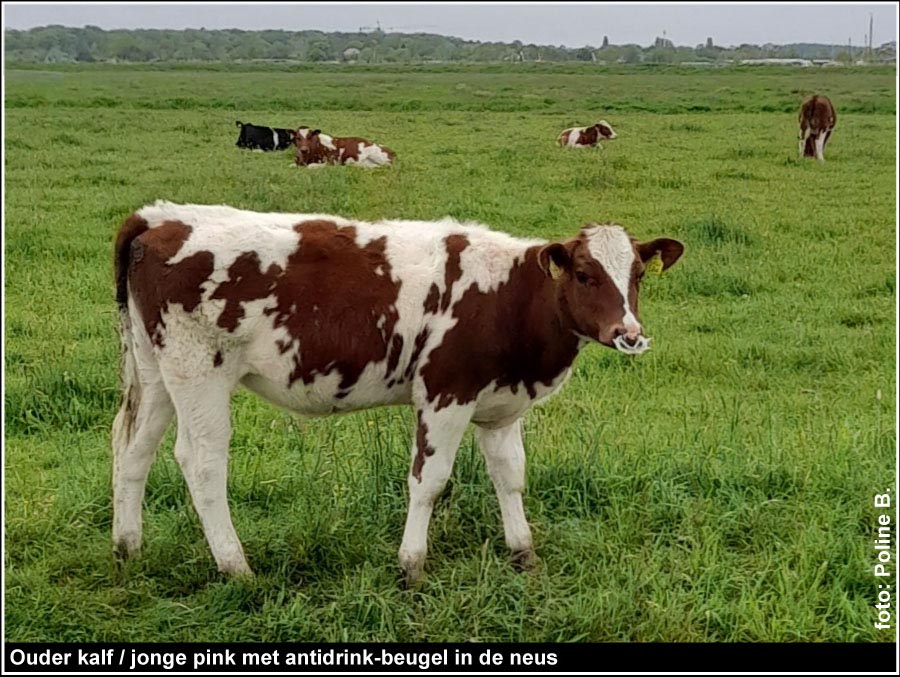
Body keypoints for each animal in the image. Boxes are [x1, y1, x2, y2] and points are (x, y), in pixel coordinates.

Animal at [110, 198, 684, 584]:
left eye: (637, 274)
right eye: (585, 274)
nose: (630, 333)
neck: (505, 294)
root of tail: (158, 216)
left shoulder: (501, 408)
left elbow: (510, 477)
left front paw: (523, 553)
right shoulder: (445, 394)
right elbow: (429, 481)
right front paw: (411, 565)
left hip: (156, 371)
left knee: (132, 449)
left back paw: (127, 547)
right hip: (198, 372)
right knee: (202, 463)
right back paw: (235, 566)